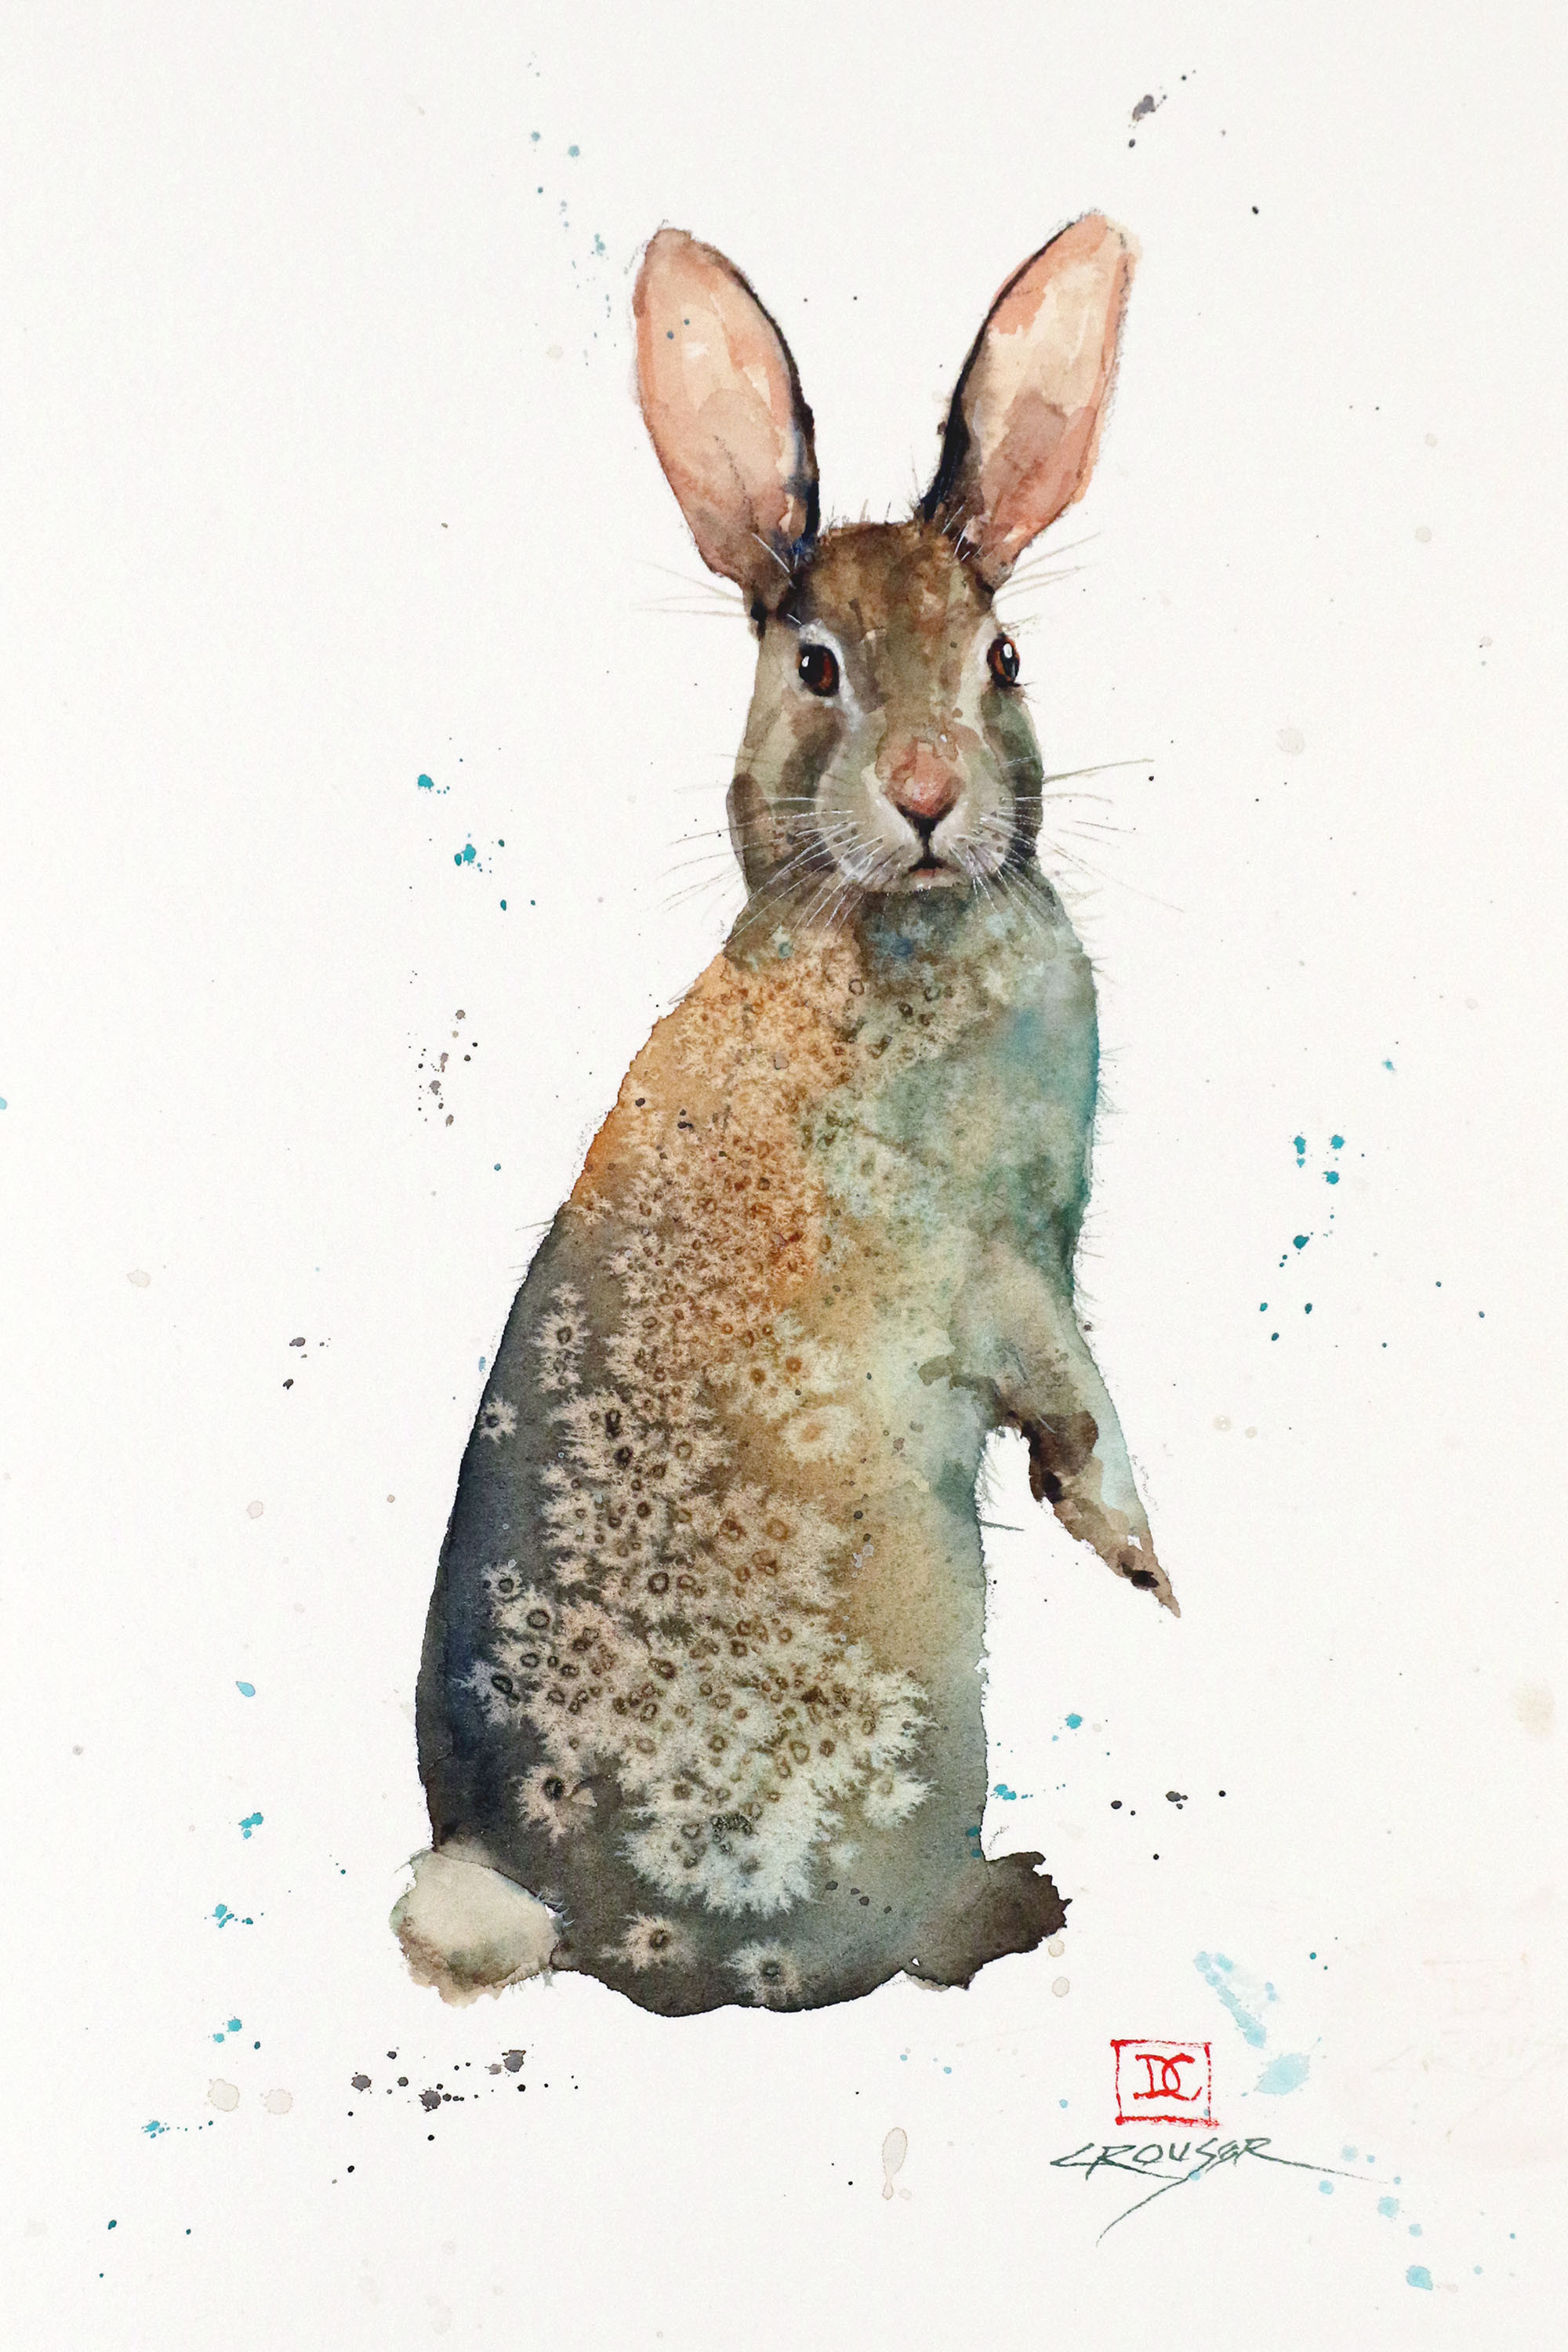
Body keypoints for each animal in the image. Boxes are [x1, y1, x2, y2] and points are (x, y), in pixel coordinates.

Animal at [392, 214, 1174, 2017]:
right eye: (814, 667)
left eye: (1002, 659)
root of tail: (560, 1920)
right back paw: (1015, 1905)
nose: (931, 794)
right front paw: (1140, 1555)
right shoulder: (998, 1272)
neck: (892, 925)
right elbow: (1072, 1389)